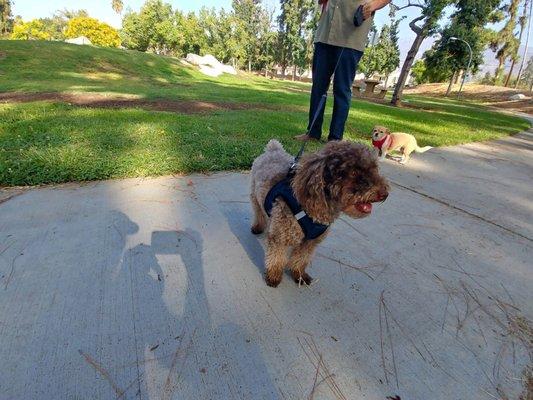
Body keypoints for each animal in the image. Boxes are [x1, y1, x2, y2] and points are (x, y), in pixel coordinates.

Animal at [249, 141, 386, 288]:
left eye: (374, 169)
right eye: (354, 172)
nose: (384, 194)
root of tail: (273, 148)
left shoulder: (310, 241)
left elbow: (301, 259)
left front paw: (299, 275)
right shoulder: (281, 237)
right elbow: (277, 258)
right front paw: (274, 276)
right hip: (255, 196)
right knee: (259, 212)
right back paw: (258, 226)